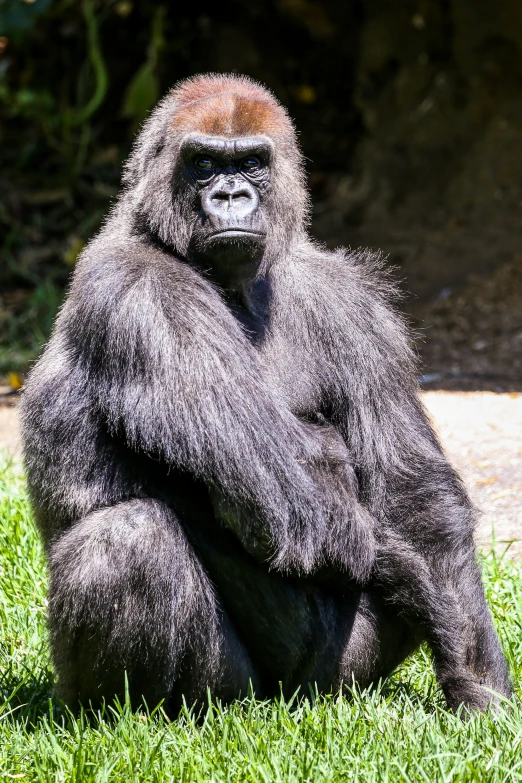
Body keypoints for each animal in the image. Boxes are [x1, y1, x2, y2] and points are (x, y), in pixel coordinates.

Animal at [20, 72, 508, 712]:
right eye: (203, 165)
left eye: (251, 163)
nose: (231, 197)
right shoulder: (138, 290)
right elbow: (292, 497)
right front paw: (391, 562)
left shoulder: (348, 296)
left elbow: (413, 501)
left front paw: (480, 687)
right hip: (220, 696)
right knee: (128, 539)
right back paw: (126, 715)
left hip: (334, 684)